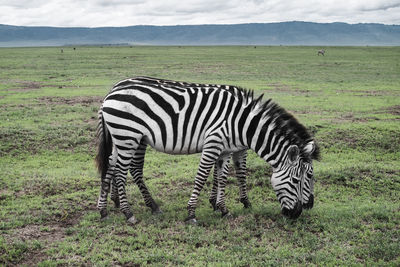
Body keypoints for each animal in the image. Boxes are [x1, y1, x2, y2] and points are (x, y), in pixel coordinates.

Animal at [95, 77, 320, 224]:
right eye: (297, 180)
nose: (300, 212)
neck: (242, 124)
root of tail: (113, 90)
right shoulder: (214, 143)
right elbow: (204, 176)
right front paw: (192, 213)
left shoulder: (226, 150)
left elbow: (222, 177)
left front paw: (222, 208)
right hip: (128, 135)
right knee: (122, 171)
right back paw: (128, 212)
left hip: (124, 137)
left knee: (112, 165)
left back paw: (105, 210)